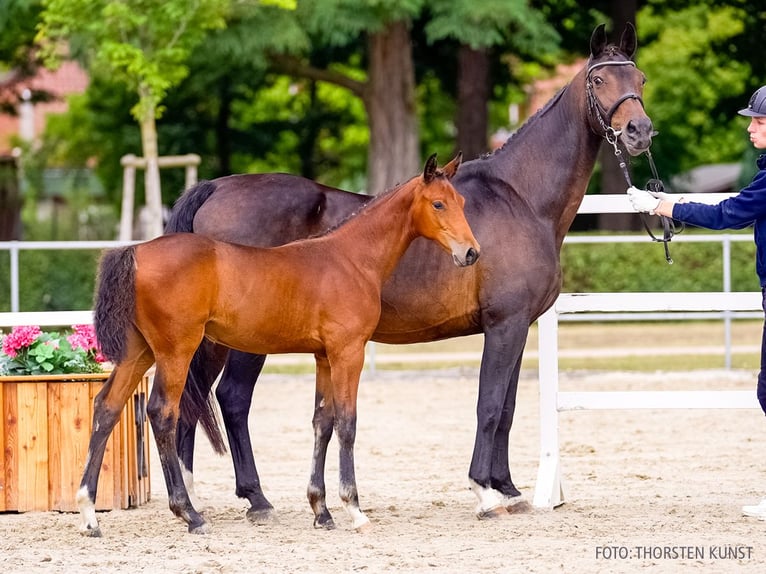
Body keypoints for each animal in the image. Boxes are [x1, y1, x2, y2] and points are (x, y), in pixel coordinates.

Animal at [77, 153, 479, 536]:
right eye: (438, 203)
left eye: (461, 200)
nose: (471, 252)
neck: (350, 258)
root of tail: (136, 253)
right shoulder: (349, 352)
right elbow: (347, 423)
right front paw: (354, 510)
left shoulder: (323, 356)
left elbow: (322, 422)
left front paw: (321, 511)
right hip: (177, 351)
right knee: (163, 413)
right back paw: (192, 514)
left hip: (139, 352)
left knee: (107, 407)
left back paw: (89, 514)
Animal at [168, 23, 654, 523]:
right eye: (599, 80)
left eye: (639, 79)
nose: (639, 132)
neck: (520, 197)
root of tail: (215, 188)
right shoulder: (504, 324)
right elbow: (489, 405)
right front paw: (483, 491)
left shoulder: (519, 326)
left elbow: (508, 406)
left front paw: (508, 488)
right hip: (243, 339)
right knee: (230, 398)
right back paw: (255, 499)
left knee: (191, 398)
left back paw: (195, 498)